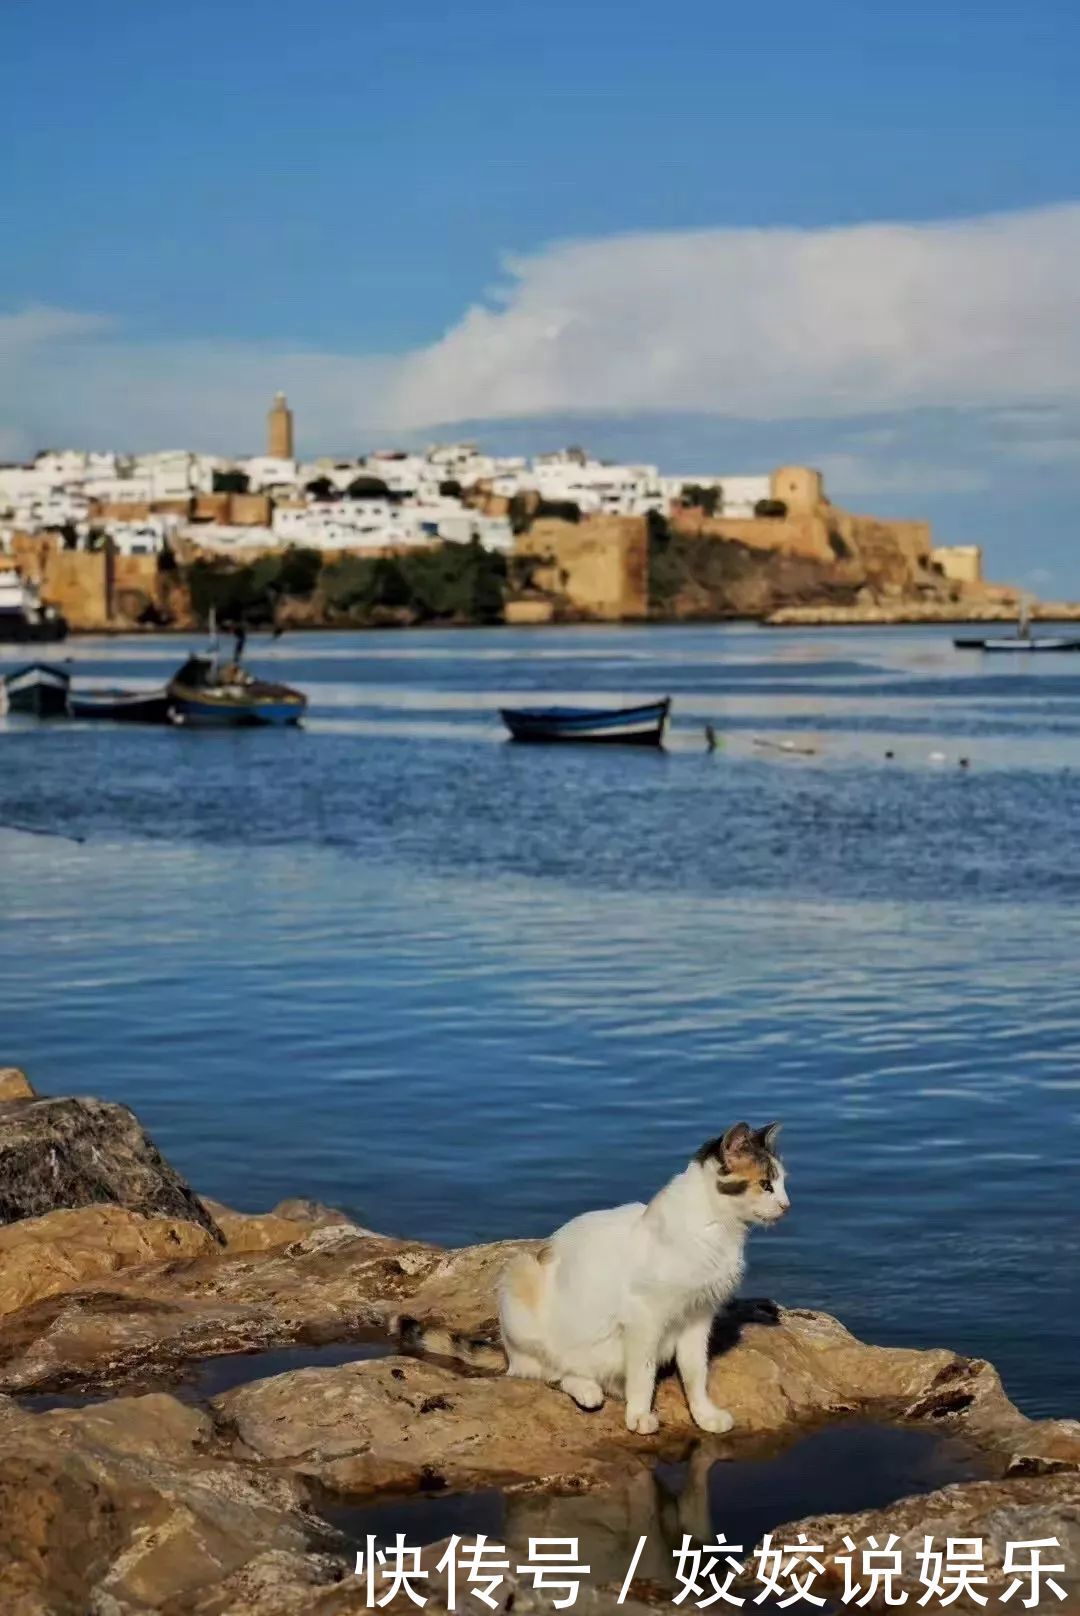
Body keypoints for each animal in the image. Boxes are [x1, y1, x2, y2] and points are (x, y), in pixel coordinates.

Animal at [494, 1124, 785, 1441]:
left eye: (782, 1183)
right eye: (766, 1184)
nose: (786, 1205)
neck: (717, 1230)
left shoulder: (698, 1316)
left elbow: (695, 1372)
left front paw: (704, 1415)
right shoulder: (644, 1317)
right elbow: (643, 1373)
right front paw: (639, 1415)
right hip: (520, 1276)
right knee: (552, 1370)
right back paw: (587, 1390)